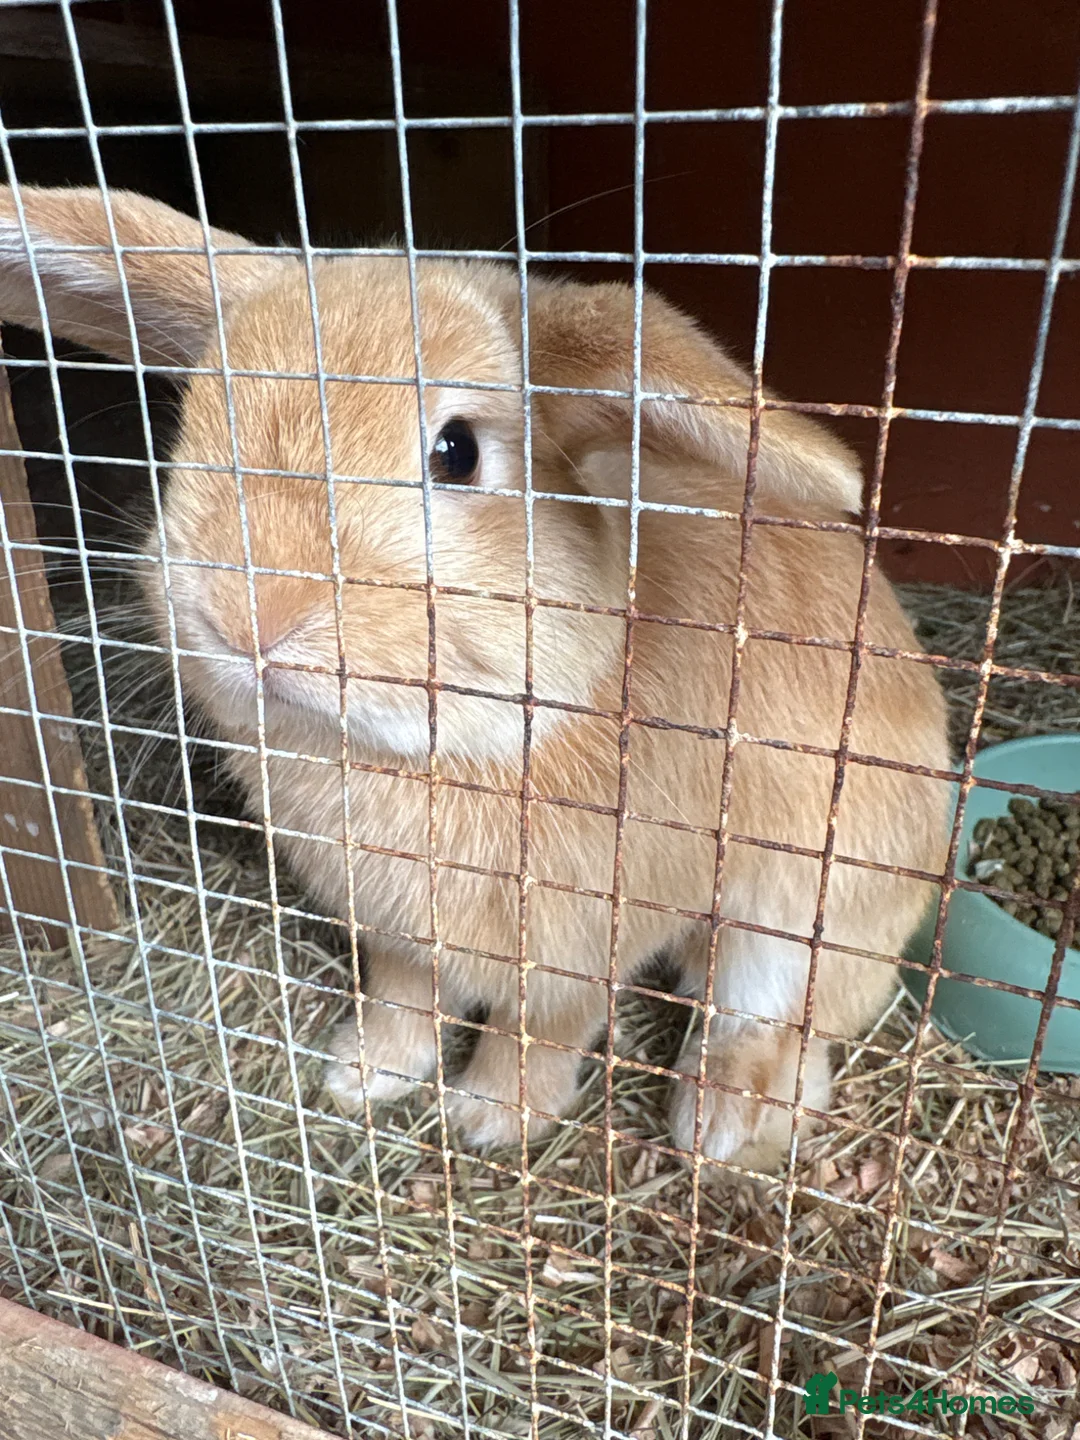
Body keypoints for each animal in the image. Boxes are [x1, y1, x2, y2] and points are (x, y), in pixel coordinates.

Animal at [0, 186, 952, 1169]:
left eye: (456, 450)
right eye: (197, 420)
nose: (248, 616)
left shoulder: (586, 944)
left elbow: (546, 1027)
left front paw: (493, 1118)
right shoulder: (395, 932)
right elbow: (403, 993)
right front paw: (365, 1076)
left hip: (813, 908)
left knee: (782, 1020)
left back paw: (722, 1124)